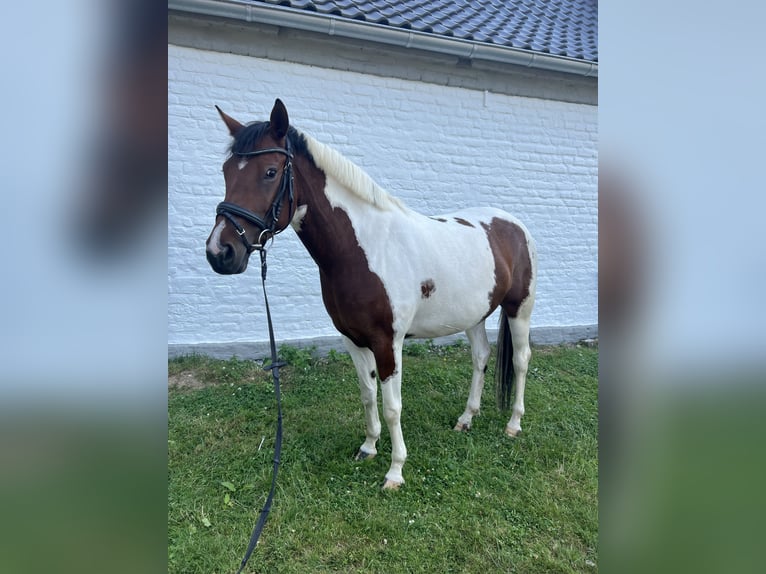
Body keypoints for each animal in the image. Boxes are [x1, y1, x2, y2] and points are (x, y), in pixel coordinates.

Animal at [205, 99, 537, 490]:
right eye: (227, 171)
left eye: (270, 172)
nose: (219, 252)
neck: (365, 249)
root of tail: (512, 223)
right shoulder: (352, 339)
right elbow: (367, 395)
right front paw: (368, 447)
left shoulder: (387, 343)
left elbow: (393, 407)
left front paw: (395, 471)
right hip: (474, 314)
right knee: (481, 357)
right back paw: (466, 419)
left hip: (519, 309)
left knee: (521, 360)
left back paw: (513, 424)